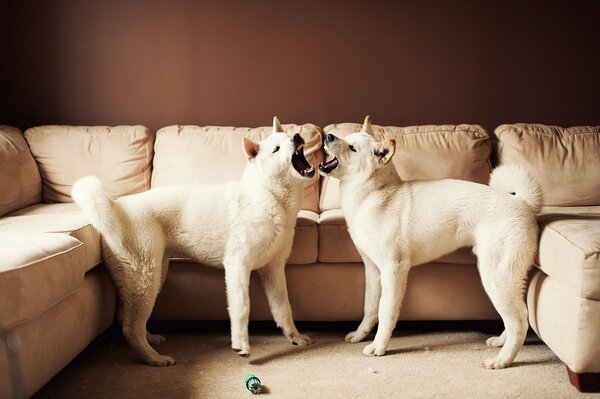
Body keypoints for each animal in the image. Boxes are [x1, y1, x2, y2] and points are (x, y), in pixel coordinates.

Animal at [72, 117, 314, 368]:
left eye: (289, 137)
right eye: (276, 149)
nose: (297, 136)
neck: (269, 195)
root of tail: (116, 206)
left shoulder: (274, 269)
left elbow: (283, 308)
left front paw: (295, 338)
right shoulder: (237, 266)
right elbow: (242, 309)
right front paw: (241, 346)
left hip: (151, 277)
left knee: (127, 318)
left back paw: (151, 340)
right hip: (144, 278)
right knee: (131, 326)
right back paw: (154, 359)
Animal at [318, 117, 544, 370]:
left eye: (352, 148)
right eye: (347, 139)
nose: (328, 137)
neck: (376, 195)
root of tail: (523, 203)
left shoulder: (393, 270)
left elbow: (386, 312)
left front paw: (379, 347)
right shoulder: (373, 270)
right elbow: (370, 308)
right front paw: (360, 335)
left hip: (495, 277)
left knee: (518, 321)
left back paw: (502, 361)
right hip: (506, 280)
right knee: (519, 315)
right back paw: (500, 343)